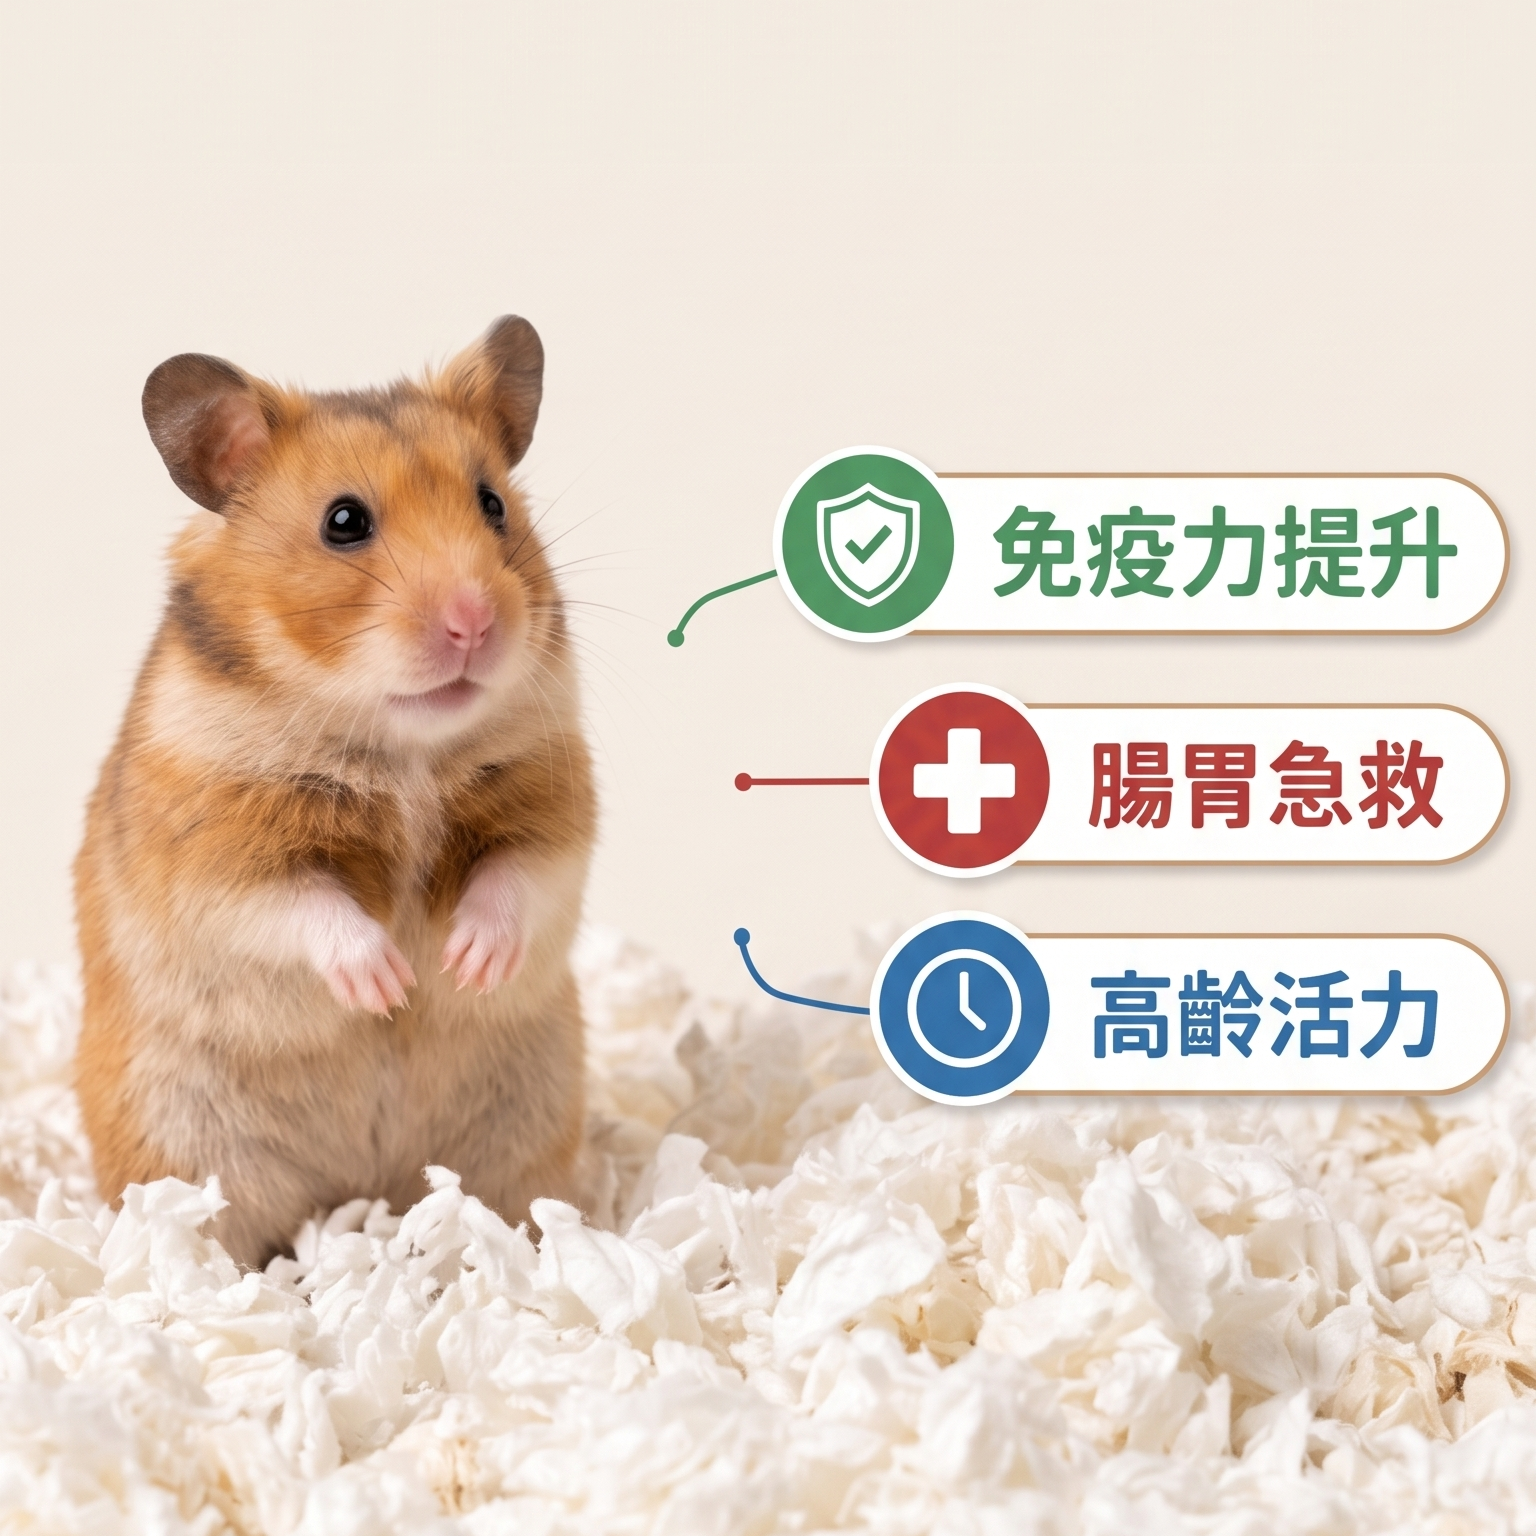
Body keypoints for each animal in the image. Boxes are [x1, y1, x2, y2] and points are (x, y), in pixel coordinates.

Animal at [73, 316, 597, 1270]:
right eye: (343, 522)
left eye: (493, 503)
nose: (476, 623)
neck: (402, 749)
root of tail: (359, 1188)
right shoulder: (217, 855)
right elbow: (307, 909)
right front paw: (387, 987)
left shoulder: (553, 805)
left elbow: (516, 877)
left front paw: (464, 966)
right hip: (181, 1144)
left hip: (523, 1130)